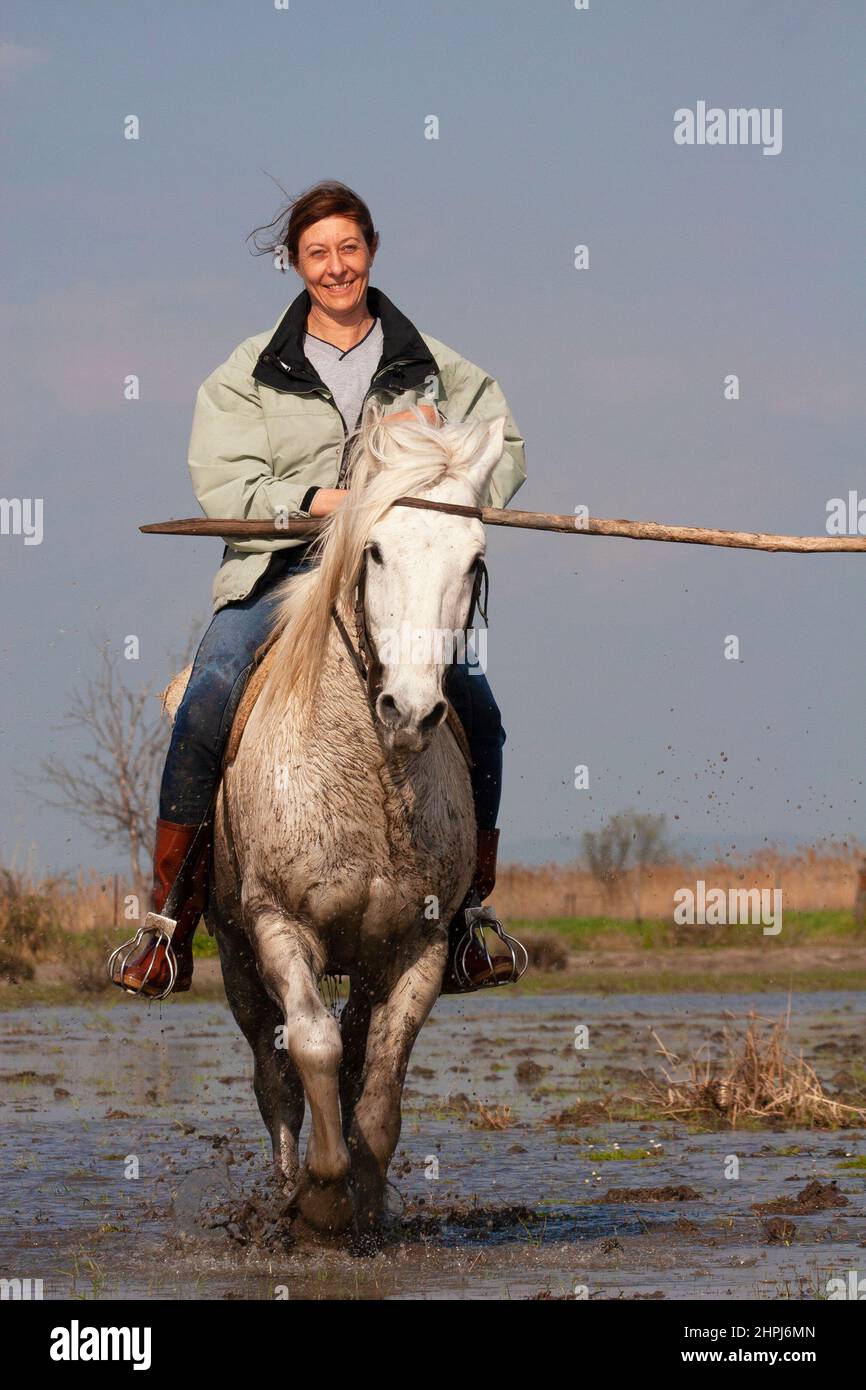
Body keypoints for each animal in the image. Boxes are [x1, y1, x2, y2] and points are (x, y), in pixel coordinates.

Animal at [207, 403, 507, 1241]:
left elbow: (381, 1078)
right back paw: (285, 1185)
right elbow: (311, 1045)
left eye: (474, 562)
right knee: (272, 1072)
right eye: (374, 550)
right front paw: (317, 1199)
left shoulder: (416, 945)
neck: (370, 782)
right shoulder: (278, 924)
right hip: (234, 956)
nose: (410, 710)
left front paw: (365, 1201)